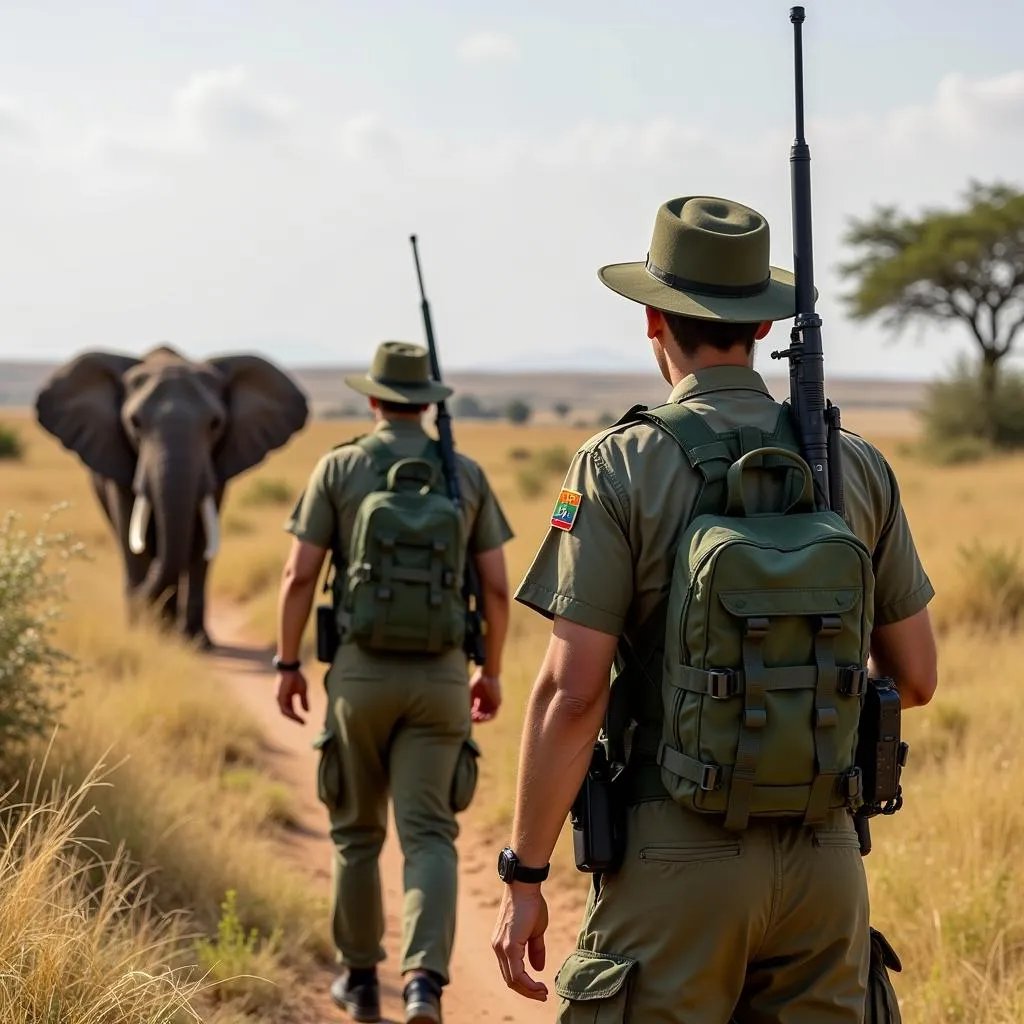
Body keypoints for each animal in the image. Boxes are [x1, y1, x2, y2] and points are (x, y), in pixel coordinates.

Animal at [37, 344, 307, 647]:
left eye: (215, 423)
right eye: (135, 423)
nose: (138, 602)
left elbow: (200, 539)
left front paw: (198, 642)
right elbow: (131, 534)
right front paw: (143, 634)